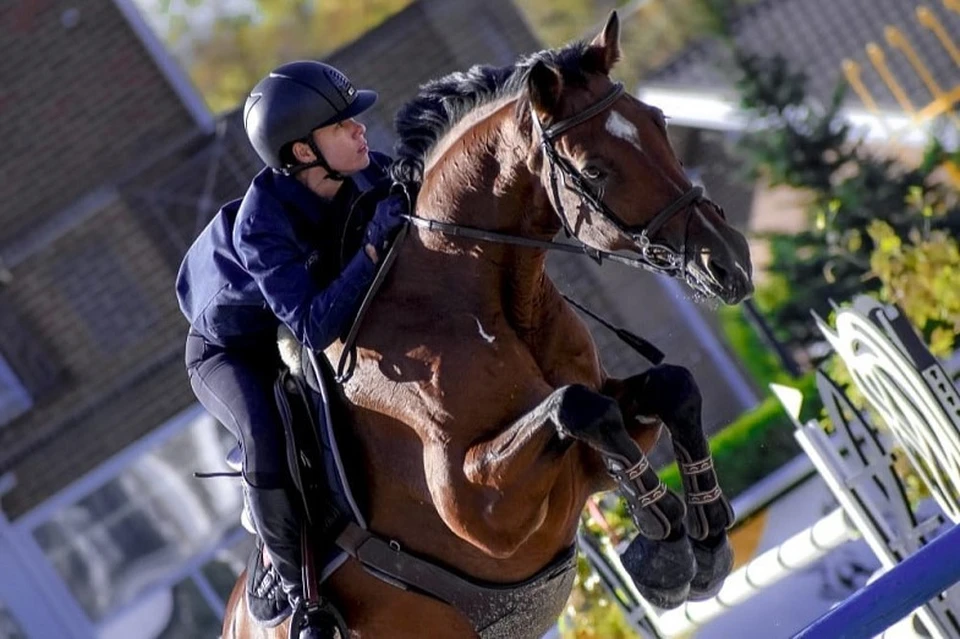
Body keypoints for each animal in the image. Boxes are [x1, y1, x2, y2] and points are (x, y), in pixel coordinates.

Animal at [221, 11, 752, 639]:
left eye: (659, 122)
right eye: (594, 170)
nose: (731, 265)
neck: (477, 296)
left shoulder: (604, 444)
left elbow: (669, 388)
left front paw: (708, 535)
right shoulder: (480, 510)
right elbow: (580, 408)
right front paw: (664, 548)